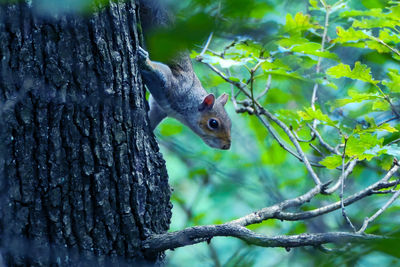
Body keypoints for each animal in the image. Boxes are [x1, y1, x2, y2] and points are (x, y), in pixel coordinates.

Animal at [138, 0, 231, 151]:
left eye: (230, 124)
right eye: (213, 123)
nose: (226, 146)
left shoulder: (160, 108)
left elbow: (153, 117)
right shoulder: (175, 84)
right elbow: (161, 70)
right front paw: (144, 59)